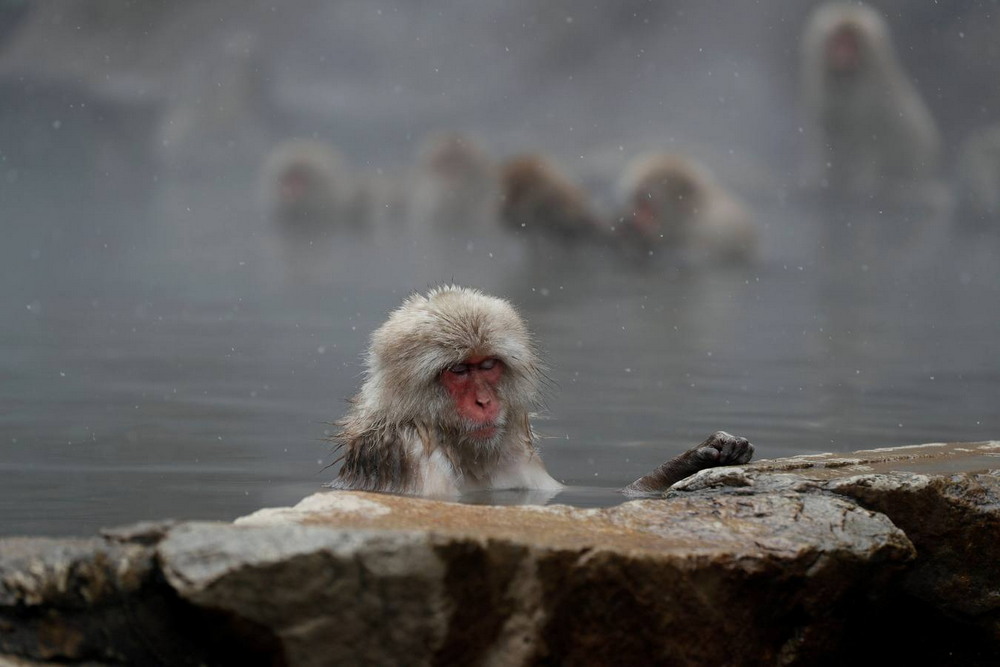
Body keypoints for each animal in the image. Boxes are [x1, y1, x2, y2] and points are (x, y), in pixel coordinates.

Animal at [800, 2, 940, 205]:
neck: (847, 80)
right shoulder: (821, 89)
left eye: (851, 44)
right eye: (837, 41)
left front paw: (860, 183)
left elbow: (870, 134)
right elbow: (828, 129)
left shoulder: (870, 96)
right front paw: (824, 178)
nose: (842, 55)